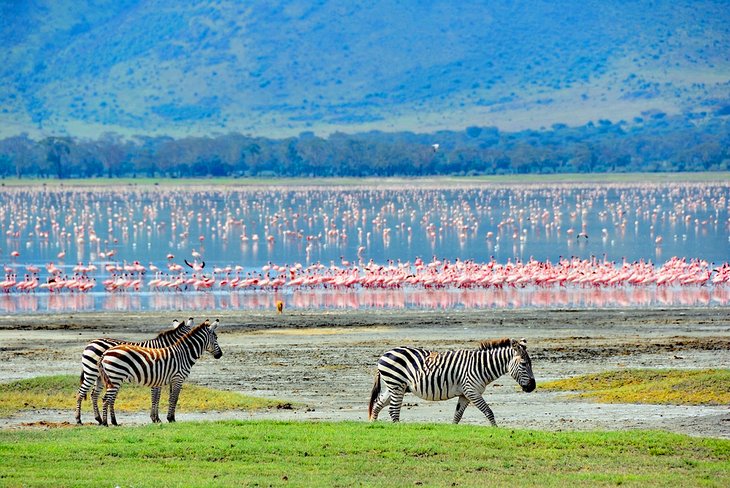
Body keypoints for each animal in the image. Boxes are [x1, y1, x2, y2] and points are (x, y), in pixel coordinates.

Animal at [366, 338, 532, 426]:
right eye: (524, 364)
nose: (532, 387)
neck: (480, 366)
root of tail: (384, 354)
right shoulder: (472, 391)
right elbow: (488, 411)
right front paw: (496, 429)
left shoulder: (465, 394)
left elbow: (457, 416)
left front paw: (452, 431)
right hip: (397, 385)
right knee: (393, 410)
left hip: (394, 387)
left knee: (378, 404)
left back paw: (374, 426)